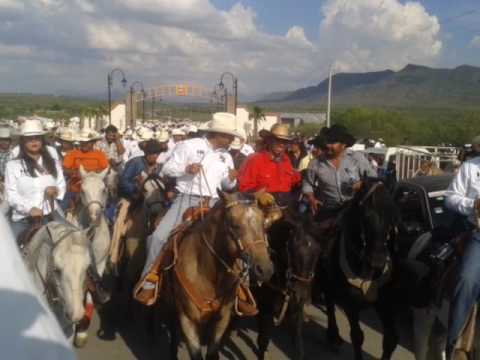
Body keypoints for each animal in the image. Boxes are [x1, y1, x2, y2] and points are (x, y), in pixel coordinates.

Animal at [161, 191, 274, 360]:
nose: (265, 269)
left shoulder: (222, 319)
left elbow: (212, 352)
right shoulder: (187, 320)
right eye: (234, 225)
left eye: (264, 226)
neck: (206, 274)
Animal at [318, 178, 402, 360]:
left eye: (392, 215)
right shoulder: (351, 303)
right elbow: (357, 336)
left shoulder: (385, 303)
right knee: (329, 303)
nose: (377, 260)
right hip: (325, 280)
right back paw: (333, 336)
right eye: (365, 215)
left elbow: (391, 339)